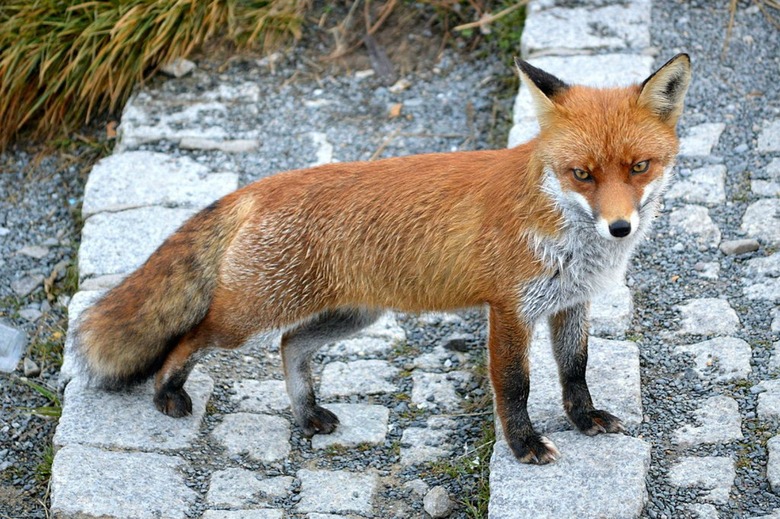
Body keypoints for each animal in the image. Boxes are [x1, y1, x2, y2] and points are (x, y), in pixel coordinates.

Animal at [74, 54, 691, 464]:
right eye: (581, 174)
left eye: (639, 167)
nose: (619, 226)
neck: (564, 228)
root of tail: (262, 186)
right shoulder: (510, 310)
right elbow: (515, 386)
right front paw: (523, 445)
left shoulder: (570, 303)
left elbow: (575, 370)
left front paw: (584, 420)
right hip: (247, 316)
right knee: (189, 338)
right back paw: (167, 394)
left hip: (353, 315)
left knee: (289, 345)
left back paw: (305, 414)